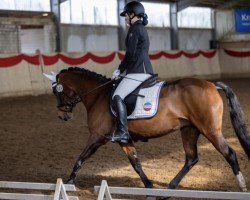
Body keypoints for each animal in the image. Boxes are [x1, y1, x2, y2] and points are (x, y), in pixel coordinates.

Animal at [44, 67, 249, 192]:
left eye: (56, 91)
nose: (62, 115)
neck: (98, 95)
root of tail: (212, 84)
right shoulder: (124, 139)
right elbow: (135, 163)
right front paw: (149, 185)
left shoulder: (97, 136)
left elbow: (81, 158)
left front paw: (68, 183)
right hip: (189, 130)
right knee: (191, 158)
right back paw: (171, 186)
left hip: (210, 130)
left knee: (230, 154)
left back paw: (242, 187)